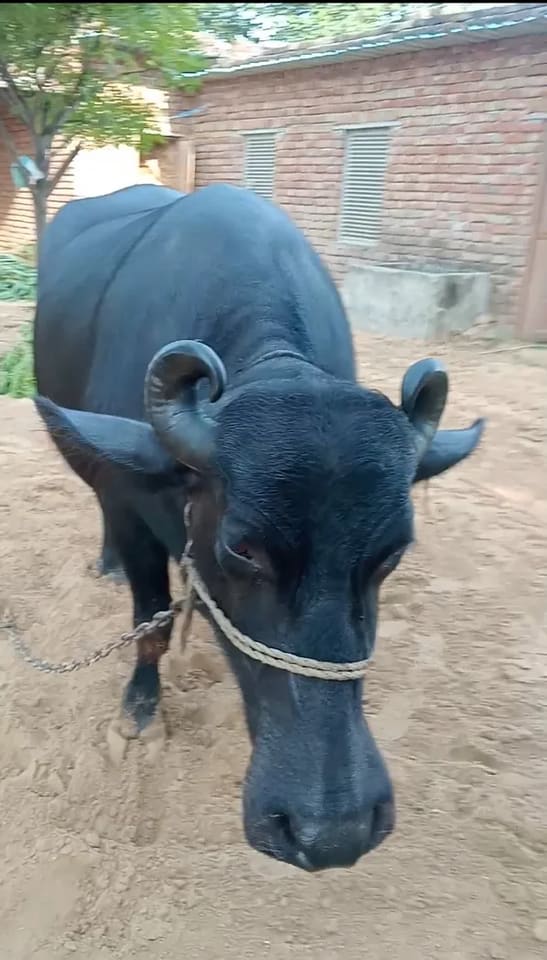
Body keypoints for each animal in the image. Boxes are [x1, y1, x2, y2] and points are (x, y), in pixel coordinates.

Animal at [33, 182, 485, 872]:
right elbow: (150, 625)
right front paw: (139, 711)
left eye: (392, 554)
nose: (335, 831)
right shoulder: (128, 499)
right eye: (242, 548)